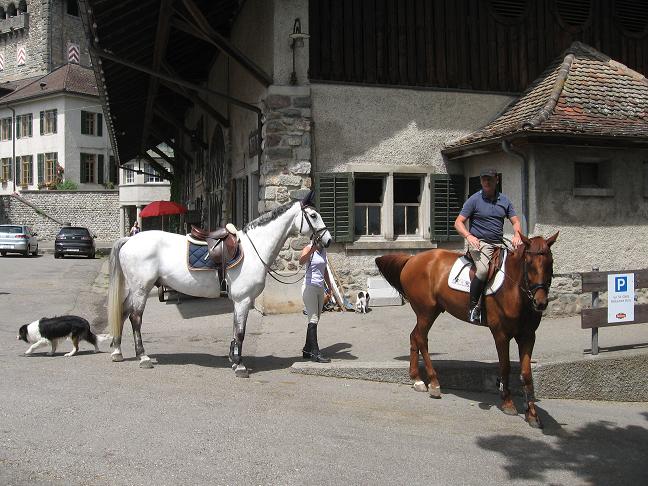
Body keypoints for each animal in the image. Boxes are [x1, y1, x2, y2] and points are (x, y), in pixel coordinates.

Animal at [107, 196, 332, 378]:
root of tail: (129, 240)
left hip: (134, 289)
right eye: (313, 215)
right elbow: (240, 332)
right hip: (141, 289)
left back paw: (117, 351)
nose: (328, 240)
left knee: (123, 312)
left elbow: (235, 329)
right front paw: (240, 366)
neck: (254, 249)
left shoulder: (239, 301)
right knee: (135, 318)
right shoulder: (243, 300)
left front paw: (233, 358)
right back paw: (143, 357)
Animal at [378, 234, 560, 428]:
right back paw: (434, 383)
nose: (541, 303)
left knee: (414, 336)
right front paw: (508, 403)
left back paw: (417, 379)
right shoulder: (501, 334)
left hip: (430, 312)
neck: (515, 291)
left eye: (550, 262)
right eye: (529, 263)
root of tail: (412, 259)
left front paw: (532, 415)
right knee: (421, 339)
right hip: (426, 311)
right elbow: (505, 367)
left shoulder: (528, 336)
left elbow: (526, 375)